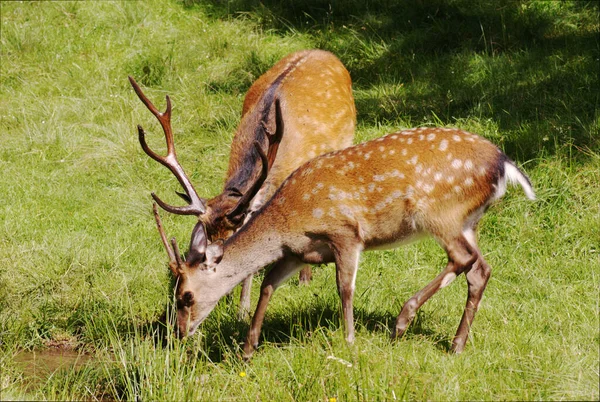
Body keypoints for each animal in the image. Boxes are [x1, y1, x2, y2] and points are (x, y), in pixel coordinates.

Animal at [152, 125, 536, 358]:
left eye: (186, 296)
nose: (178, 332)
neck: (288, 221)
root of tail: (505, 164)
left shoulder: (345, 233)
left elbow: (345, 287)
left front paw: (349, 342)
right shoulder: (298, 252)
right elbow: (268, 283)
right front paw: (249, 347)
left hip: (439, 213)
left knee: (462, 259)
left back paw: (402, 321)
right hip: (469, 221)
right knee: (481, 268)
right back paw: (456, 344)